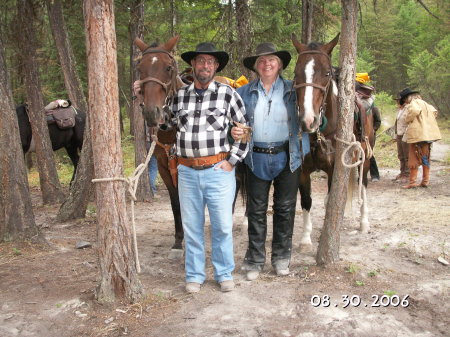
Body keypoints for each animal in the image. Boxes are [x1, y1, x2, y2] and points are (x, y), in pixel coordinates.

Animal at [290, 33, 374, 252]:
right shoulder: (303, 170)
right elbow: (307, 201)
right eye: (296, 73)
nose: (307, 120)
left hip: (364, 157)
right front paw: (306, 239)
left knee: (363, 186)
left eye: (327, 73)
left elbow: (332, 201)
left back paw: (364, 222)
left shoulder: (334, 168)